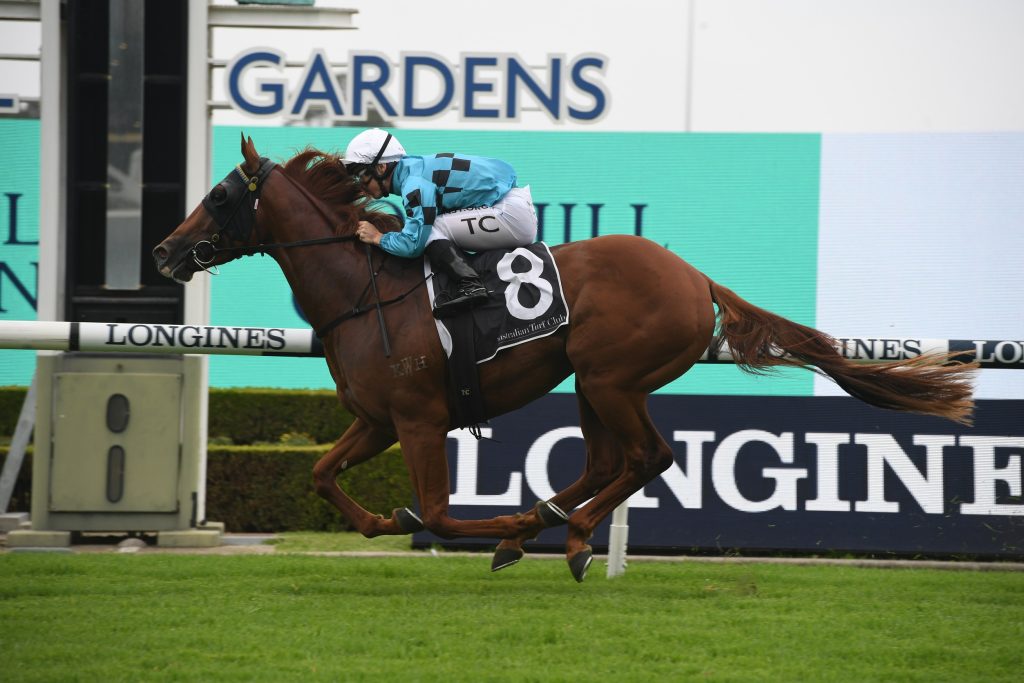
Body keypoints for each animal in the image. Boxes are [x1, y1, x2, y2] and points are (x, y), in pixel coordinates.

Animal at [153, 135, 978, 582]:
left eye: (220, 195)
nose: (164, 251)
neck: (365, 289)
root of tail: (694, 276)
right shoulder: (378, 419)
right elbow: (323, 475)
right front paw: (388, 519)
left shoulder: (419, 420)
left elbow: (442, 513)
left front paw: (464, 524)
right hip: (594, 380)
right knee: (610, 460)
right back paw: (550, 522)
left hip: (611, 377)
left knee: (648, 457)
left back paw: (564, 533)